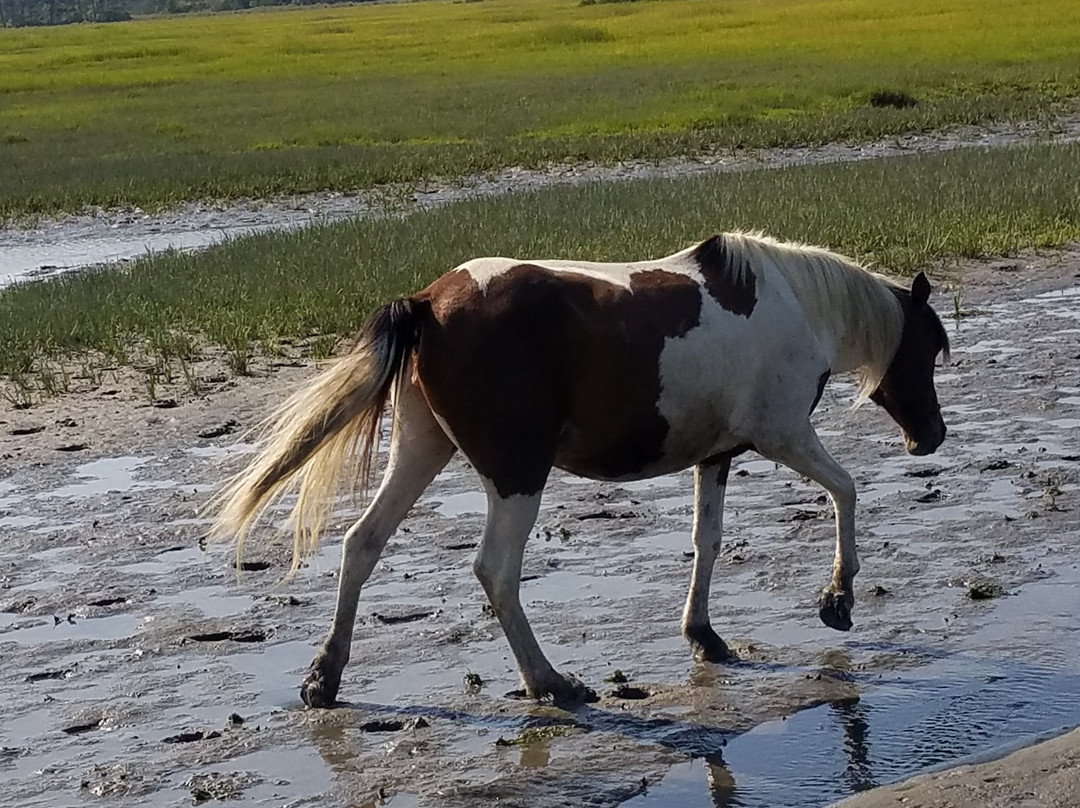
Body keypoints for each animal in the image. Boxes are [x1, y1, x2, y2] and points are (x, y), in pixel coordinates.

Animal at [212, 231, 950, 708]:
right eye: (930, 347)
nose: (931, 438)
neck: (791, 303)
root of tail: (426, 302)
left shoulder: (715, 456)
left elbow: (706, 542)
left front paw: (704, 635)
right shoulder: (784, 434)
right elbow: (846, 490)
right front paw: (837, 599)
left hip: (421, 449)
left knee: (361, 543)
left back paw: (324, 678)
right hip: (516, 475)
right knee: (495, 571)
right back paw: (551, 683)